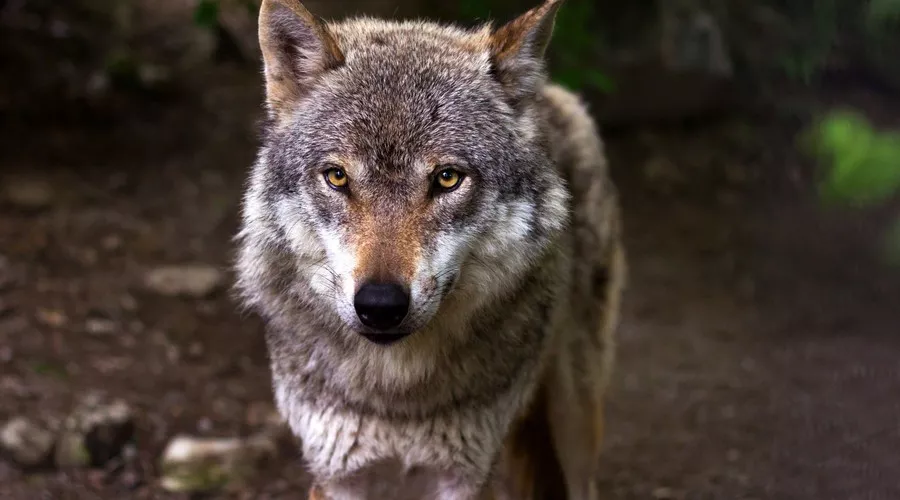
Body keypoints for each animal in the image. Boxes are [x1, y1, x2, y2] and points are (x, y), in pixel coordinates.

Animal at [234, 0, 624, 496]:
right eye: (337, 176)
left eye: (447, 178)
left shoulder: (466, 474)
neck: (397, 395)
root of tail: (550, 93)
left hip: (575, 421)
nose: (380, 305)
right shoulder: (337, 473)